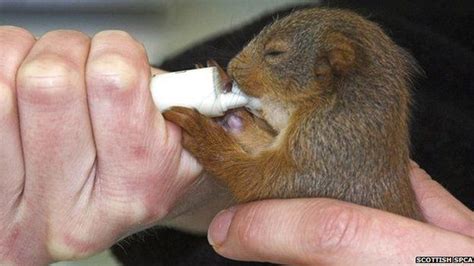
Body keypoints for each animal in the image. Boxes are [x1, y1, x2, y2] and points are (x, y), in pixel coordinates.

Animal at [165, 7, 424, 220]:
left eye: (275, 52)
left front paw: (203, 134)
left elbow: (255, 179)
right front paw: (232, 117)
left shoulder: (322, 159)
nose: (231, 67)